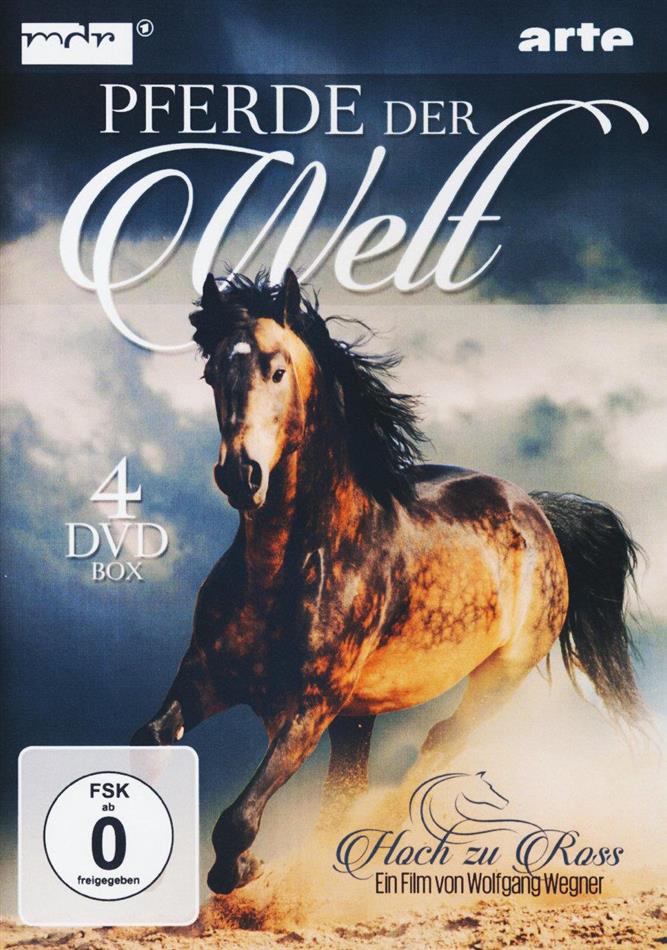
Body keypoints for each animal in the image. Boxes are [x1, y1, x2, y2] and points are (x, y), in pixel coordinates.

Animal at [132, 269, 642, 894]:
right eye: (211, 375)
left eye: (277, 370)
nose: (240, 475)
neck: (289, 567)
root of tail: (538, 513)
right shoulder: (206, 677)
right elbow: (151, 744)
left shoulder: (309, 706)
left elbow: (236, 820)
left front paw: (243, 871)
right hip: (360, 716)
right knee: (349, 786)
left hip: (500, 677)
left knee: (439, 741)